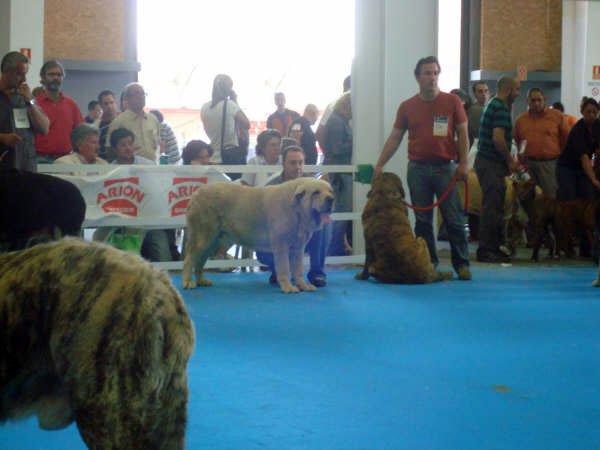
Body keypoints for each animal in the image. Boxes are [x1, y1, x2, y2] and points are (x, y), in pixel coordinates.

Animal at [180, 178, 336, 294]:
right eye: (316, 192)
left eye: (330, 191)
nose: (331, 199)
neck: (297, 211)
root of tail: (195, 194)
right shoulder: (281, 245)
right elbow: (284, 267)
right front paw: (288, 287)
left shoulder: (298, 248)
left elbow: (298, 270)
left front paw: (303, 285)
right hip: (202, 238)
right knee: (189, 259)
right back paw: (188, 282)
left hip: (213, 242)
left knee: (200, 262)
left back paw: (201, 281)